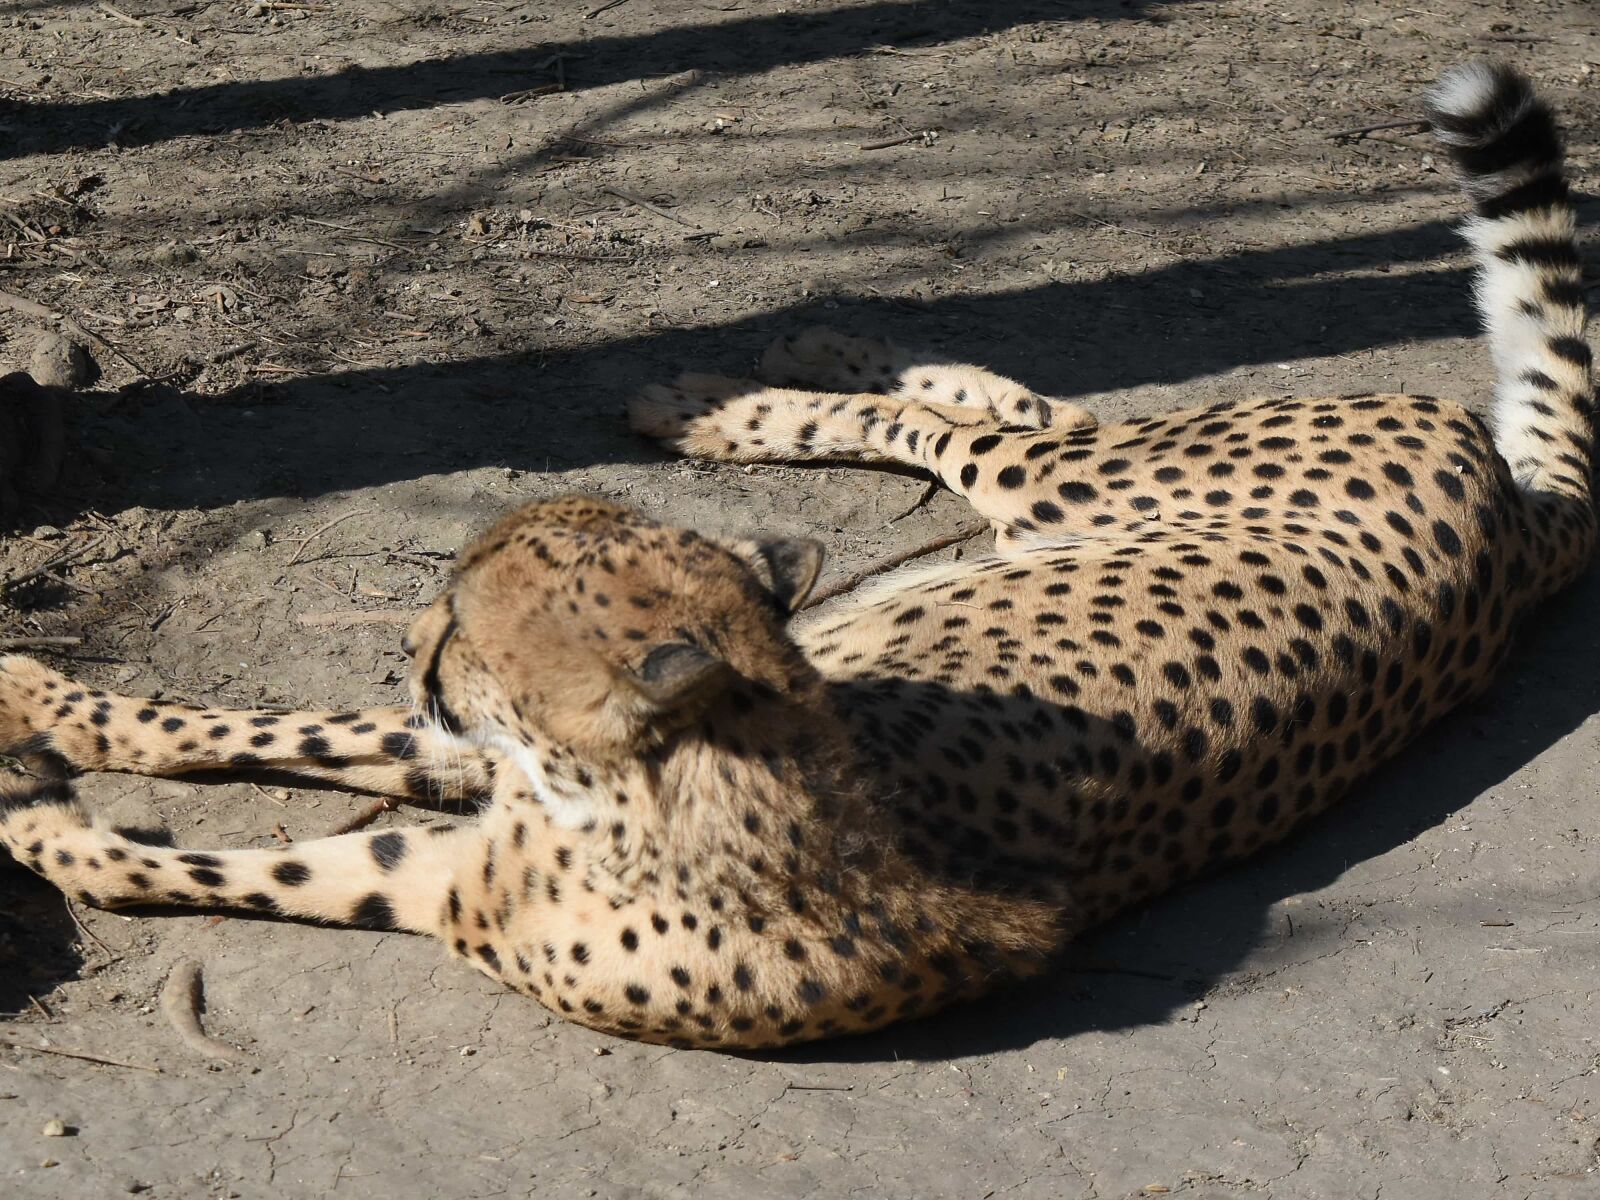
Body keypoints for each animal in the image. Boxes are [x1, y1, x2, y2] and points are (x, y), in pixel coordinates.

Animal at [0, 62, 1591, 1050]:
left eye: (454, 619)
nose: (410, 647)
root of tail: (1524, 529)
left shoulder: (431, 872)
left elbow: (199, 859)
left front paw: (42, 807)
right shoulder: (471, 782)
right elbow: (261, 727)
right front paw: (45, 710)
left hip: (1083, 482)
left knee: (979, 430)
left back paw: (726, 399)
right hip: (1083, 481)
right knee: (1017, 404)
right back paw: (816, 336)